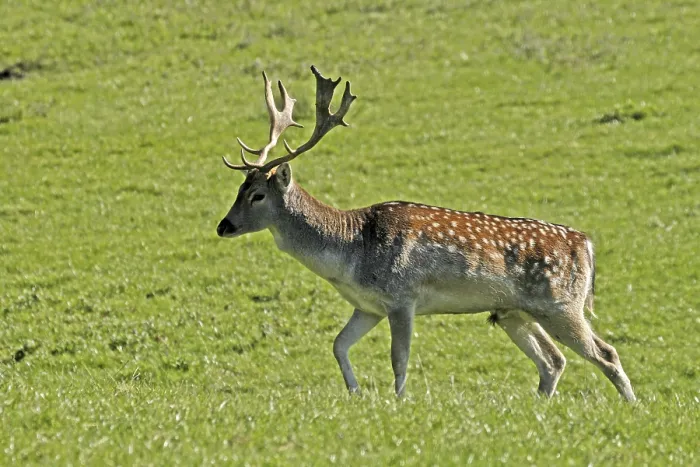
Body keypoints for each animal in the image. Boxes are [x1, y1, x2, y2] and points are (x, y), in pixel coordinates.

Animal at [216, 66, 636, 402]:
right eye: (238, 188)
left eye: (257, 195)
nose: (224, 226)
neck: (350, 255)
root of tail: (586, 244)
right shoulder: (367, 305)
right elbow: (338, 345)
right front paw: (355, 392)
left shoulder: (402, 297)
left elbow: (399, 359)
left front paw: (400, 401)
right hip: (514, 312)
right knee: (553, 361)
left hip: (562, 305)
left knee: (606, 353)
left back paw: (632, 406)